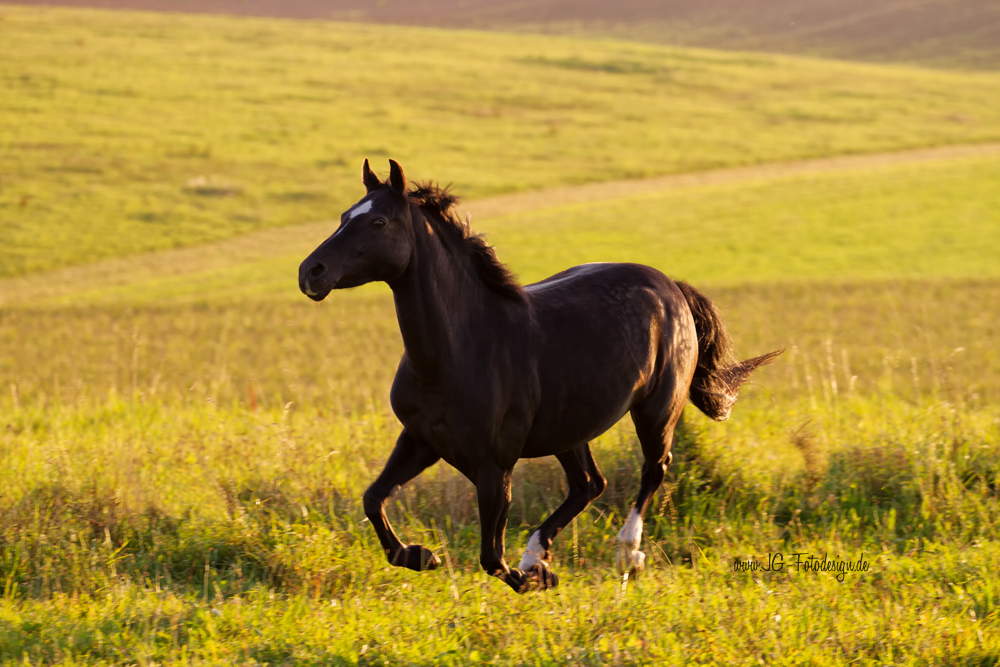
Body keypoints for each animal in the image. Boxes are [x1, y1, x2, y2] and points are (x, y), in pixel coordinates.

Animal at [296, 159, 780, 592]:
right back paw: (537, 553)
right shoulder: (420, 441)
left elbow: (491, 557)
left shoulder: (494, 465)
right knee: (589, 483)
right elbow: (373, 498)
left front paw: (533, 579)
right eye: (344, 216)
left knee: (653, 469)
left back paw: (626, 554)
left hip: (656, 409)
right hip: (569, 429)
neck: (459, 349)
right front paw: (421, 555)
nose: (310, 272)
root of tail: (670, 286)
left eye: (378, 221)